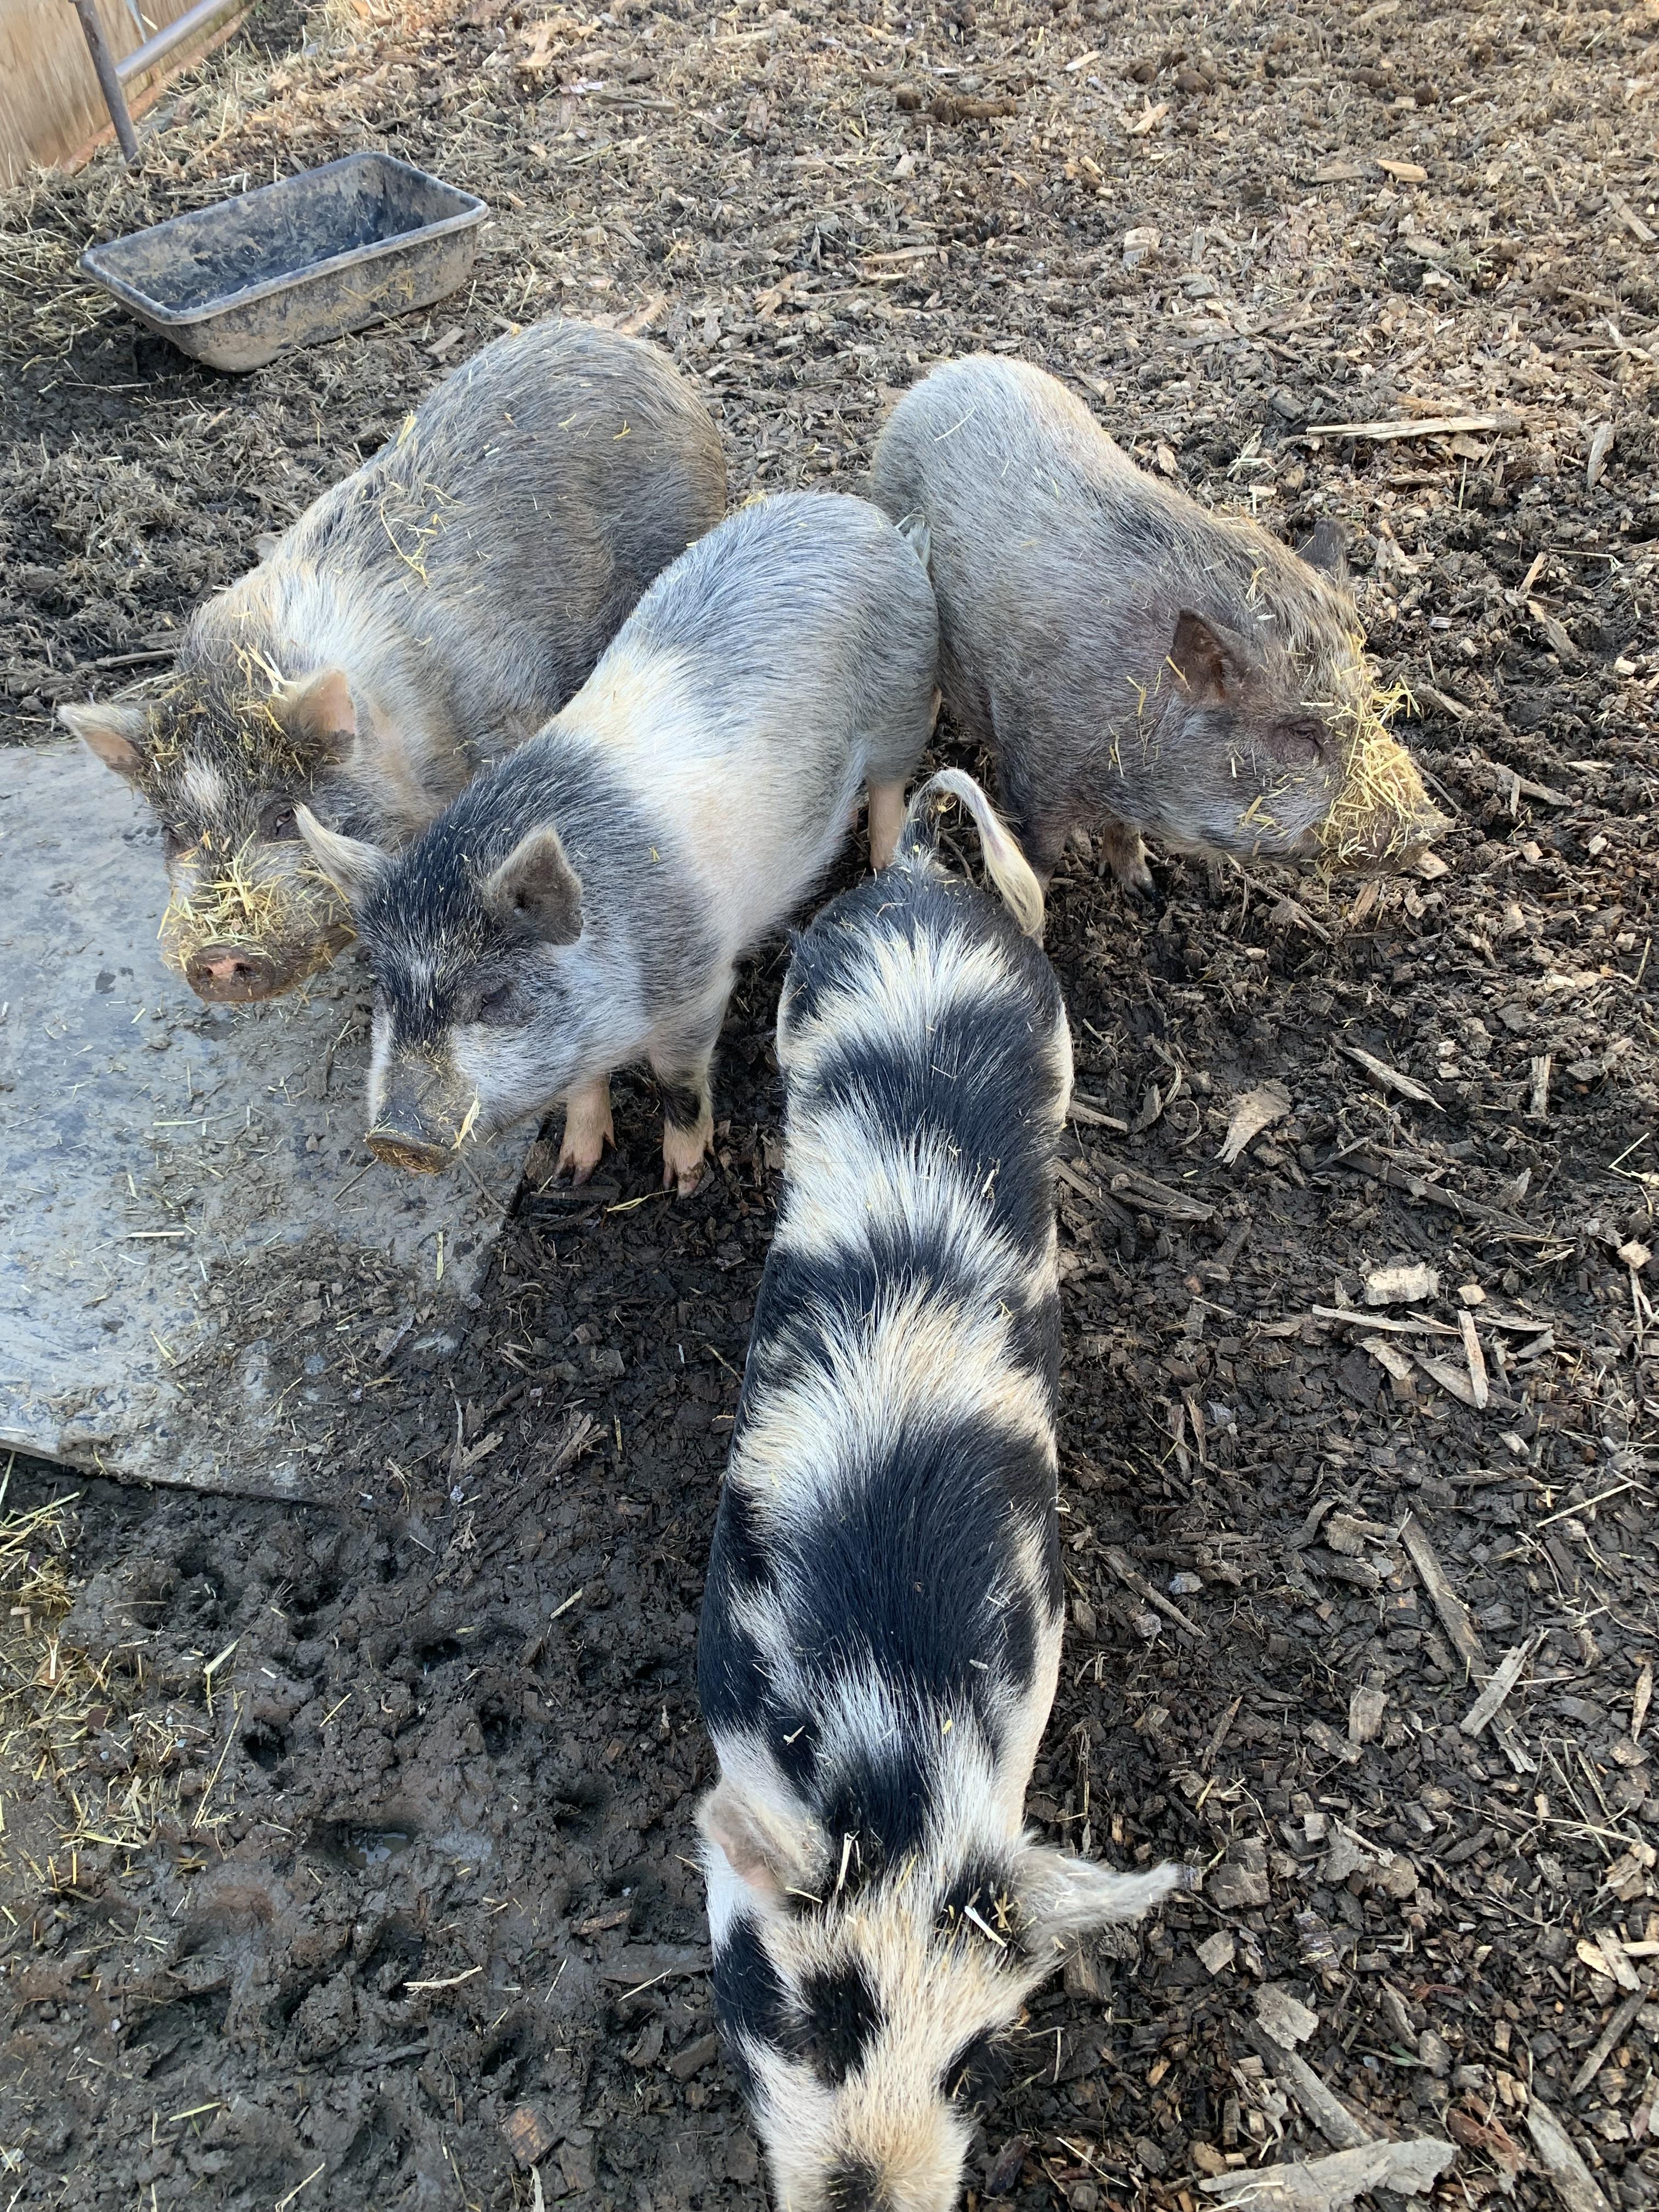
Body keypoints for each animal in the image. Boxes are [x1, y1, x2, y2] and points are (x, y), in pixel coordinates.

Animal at [294, 490, 939, 1192]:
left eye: (493, 997)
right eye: (386, 992)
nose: (394, 1139)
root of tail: (865, 516)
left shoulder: (698, 988)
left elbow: (677, 1082)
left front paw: (683, 1179)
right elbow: (582, 1085)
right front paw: (574, 1170)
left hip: (905, 701)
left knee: (891, 786)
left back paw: (882, 864)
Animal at [696, 768, 1190, 2212]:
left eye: (973, 2061)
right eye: (808, 2018)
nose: (874, 2198)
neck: (896, 1723)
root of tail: (920, 880)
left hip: (1053, 1027)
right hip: (808, 988)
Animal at [870, 354, 1444, 892]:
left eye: (1370, 704)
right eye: (1303, 732)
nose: (1431, 829)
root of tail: (937, 379)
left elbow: (1124, 832)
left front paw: (1145, 888)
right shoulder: (1031, 770)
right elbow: (1038, 861)